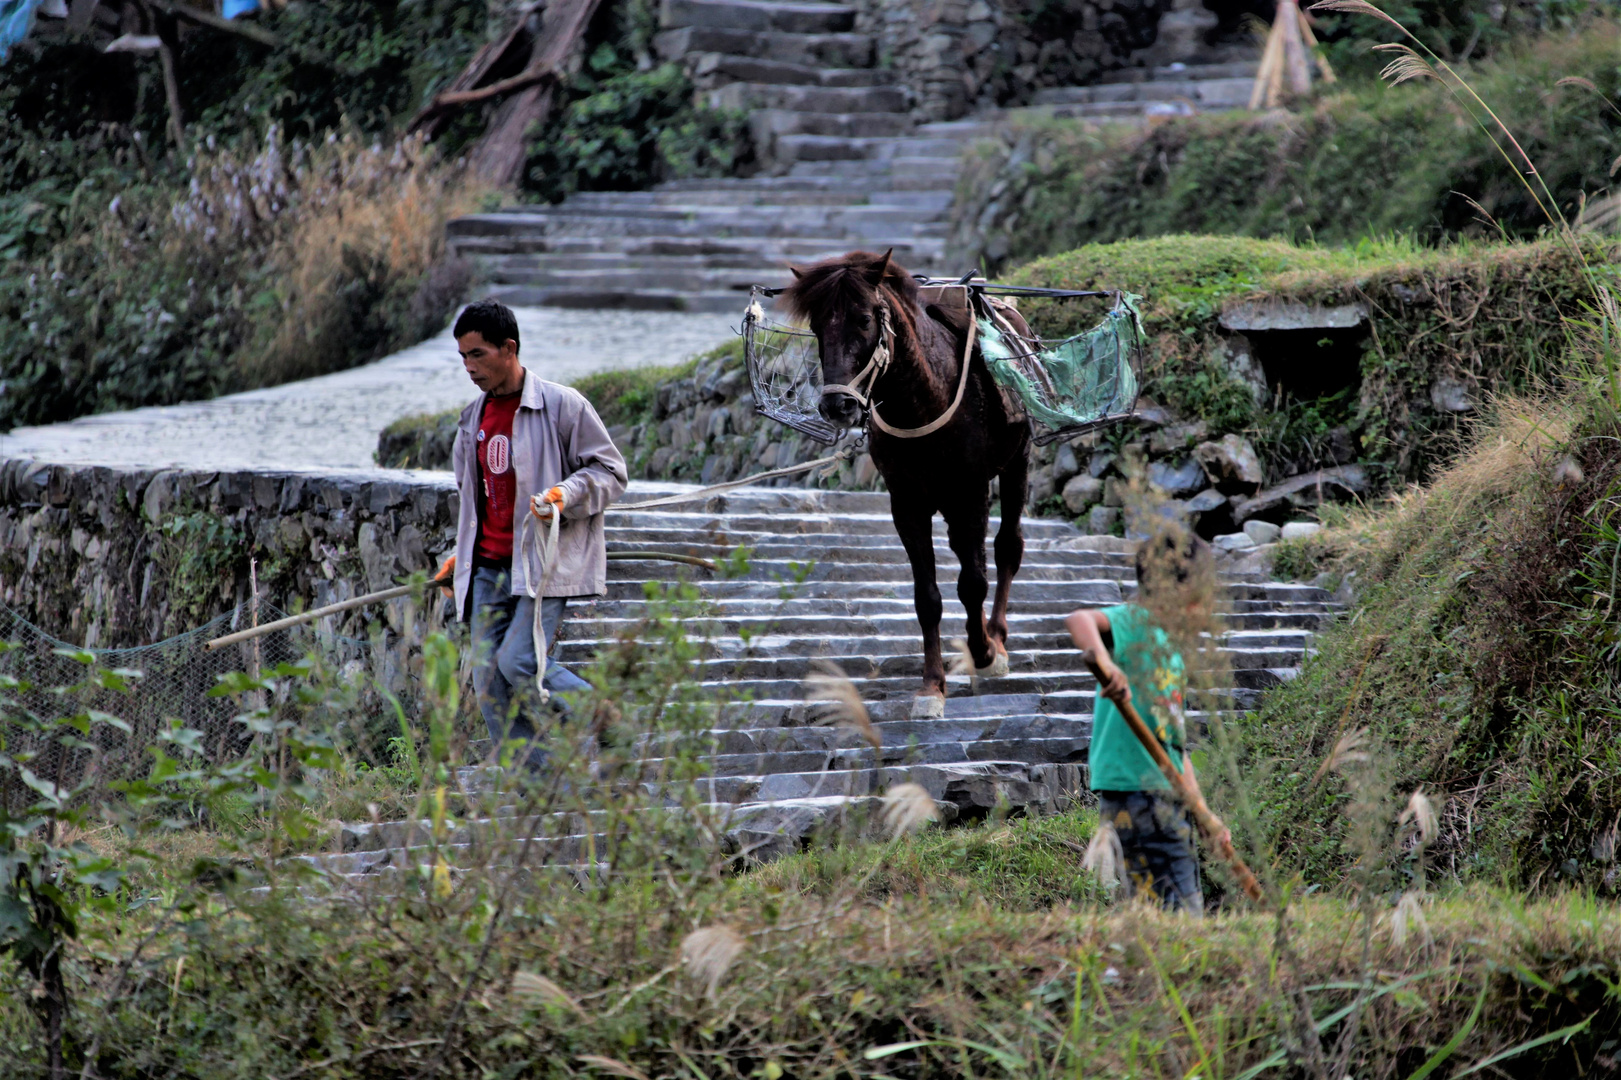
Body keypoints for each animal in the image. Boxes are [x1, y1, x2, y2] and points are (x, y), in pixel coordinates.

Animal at [778, 248, 1030, 710]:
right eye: (817, 326)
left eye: (864, 319)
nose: (838, 405)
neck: (926, 398)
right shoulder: (907, 501)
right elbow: (926, 598)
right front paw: (931, 686)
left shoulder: (971, 490)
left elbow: (973, 582)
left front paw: (983, 652)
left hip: (1017, 461)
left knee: (1006, 548)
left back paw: (997, 640)